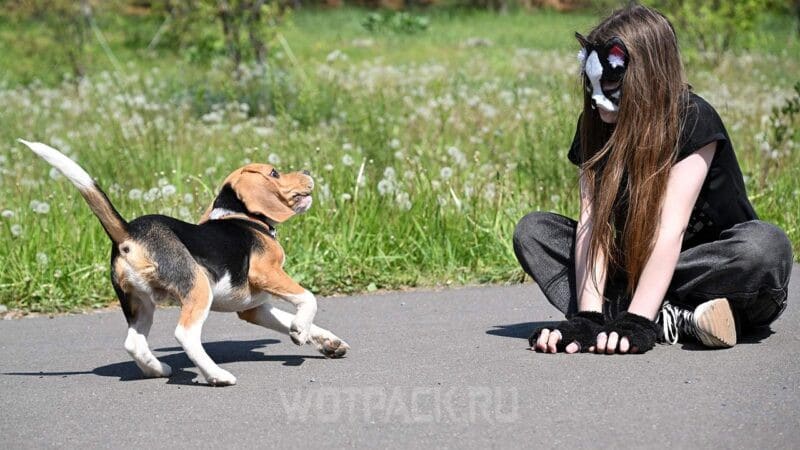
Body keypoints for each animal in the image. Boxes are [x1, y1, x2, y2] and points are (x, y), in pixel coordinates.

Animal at [18, 141, 348, 386]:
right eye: (275, 172)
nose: (307, 171)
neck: (243, 217)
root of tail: (129, 232)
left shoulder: (253, 308)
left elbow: (291, 318)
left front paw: (327, 341)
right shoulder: (266, 272)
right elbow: (308, 298)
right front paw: (300, 331)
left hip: (139, 302)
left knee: (133, 342)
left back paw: (157, 369)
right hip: (198, 287)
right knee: (185, 334)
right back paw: (216, 375)